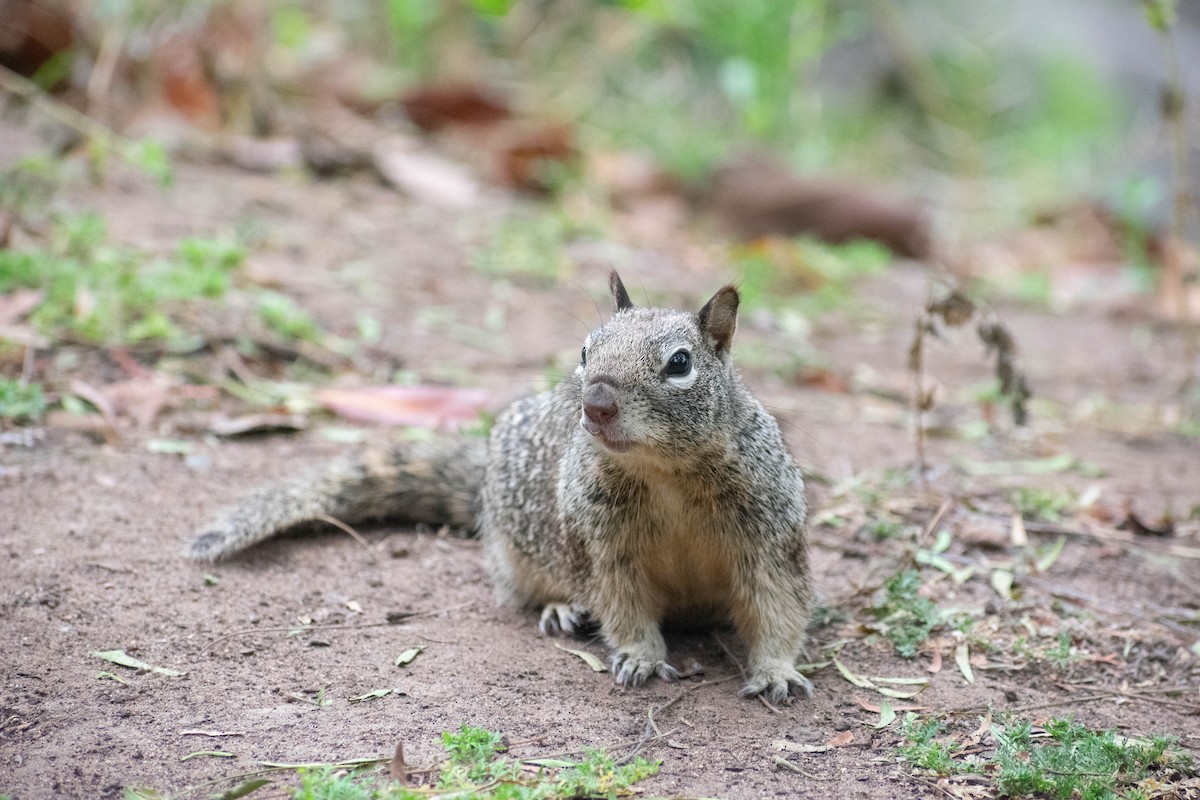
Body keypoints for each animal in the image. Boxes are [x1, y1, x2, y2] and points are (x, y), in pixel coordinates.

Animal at [186, 272, 814, 703]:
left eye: (680, 363)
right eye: (585, 350)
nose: (595, 403)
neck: (663, 472)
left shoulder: (768, 533)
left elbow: (779, 604)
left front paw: (776, 671)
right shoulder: (603, 548)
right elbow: (623, 605)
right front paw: (638, 657)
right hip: (516, 554)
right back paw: (560, 609)